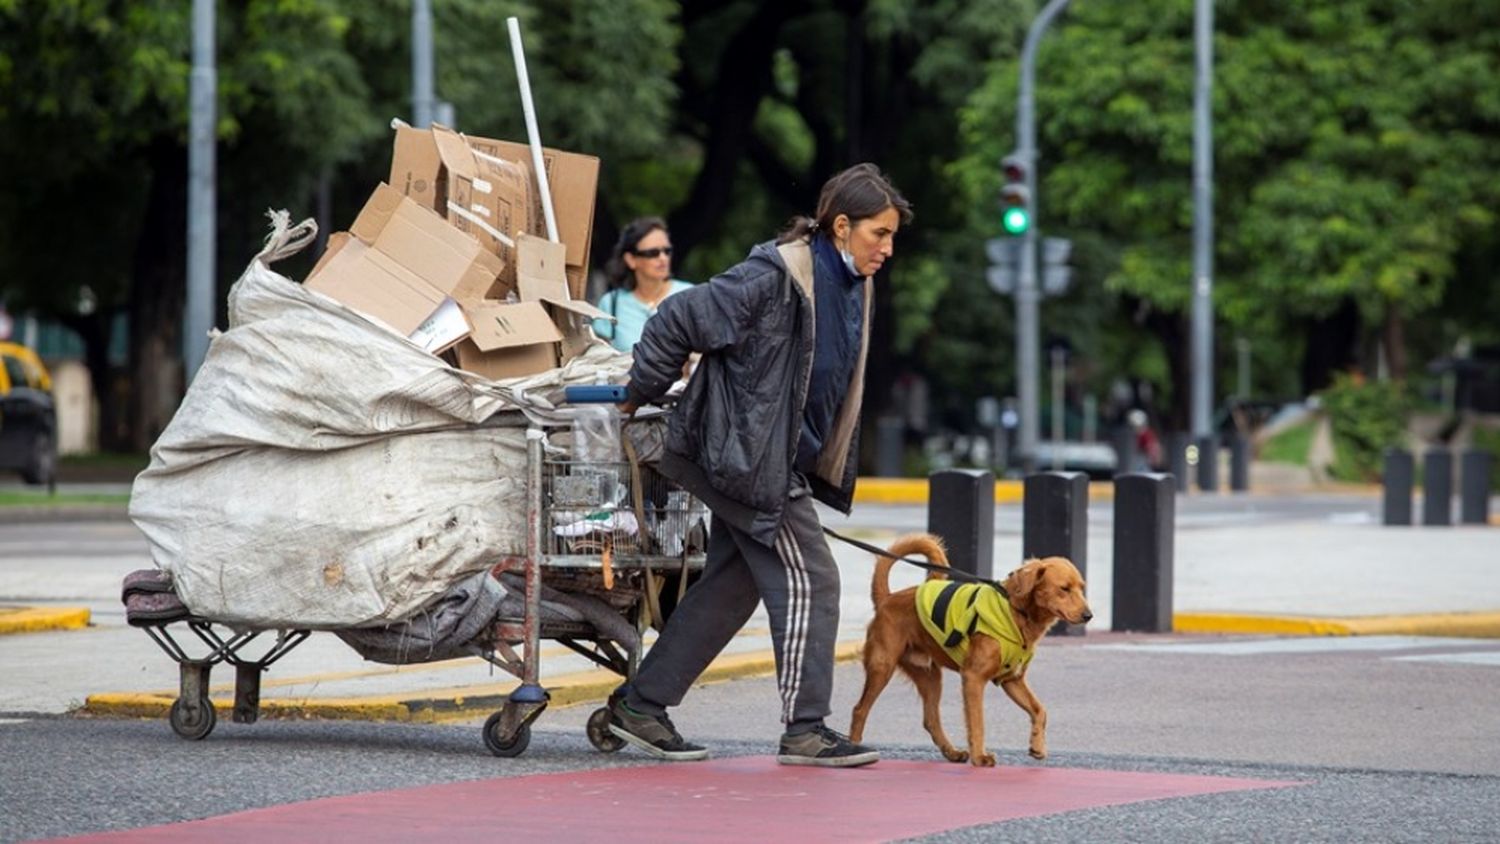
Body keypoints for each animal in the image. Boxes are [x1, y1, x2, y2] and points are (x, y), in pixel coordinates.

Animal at [852, 539, 1098, 767]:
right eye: (1064, 588)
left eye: (1081, 587)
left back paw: (952, 752)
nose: (1088, 615)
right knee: (859, 710)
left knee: (930, 720)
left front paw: (1037, 745)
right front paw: (980, 757)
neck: (1016, 611)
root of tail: (887, 598)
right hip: (882, 668)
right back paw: (854, 747)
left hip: (930, 676)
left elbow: (1040, 710)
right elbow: (977, 722)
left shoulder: (1012, 680)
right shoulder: (973, 678)